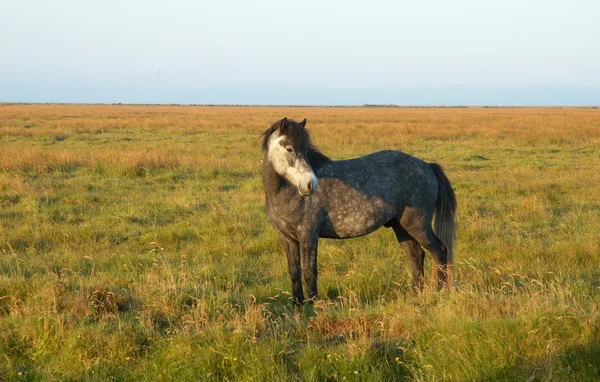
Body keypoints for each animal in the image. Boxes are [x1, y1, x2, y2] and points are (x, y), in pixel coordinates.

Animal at [262, 116, 454, 304]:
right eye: (289, 148)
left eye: (306, 150)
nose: (310, 184)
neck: (287, 191)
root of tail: (428, 166)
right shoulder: (287, 238)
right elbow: (295, 272)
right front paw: (298, 305)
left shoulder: (308, 235)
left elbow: (310, 273)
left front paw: (312, 305)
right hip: (401, 227)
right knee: (416, 256)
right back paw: (415, 295)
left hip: (418, 226)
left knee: (439, 251)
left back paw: (439, 293)